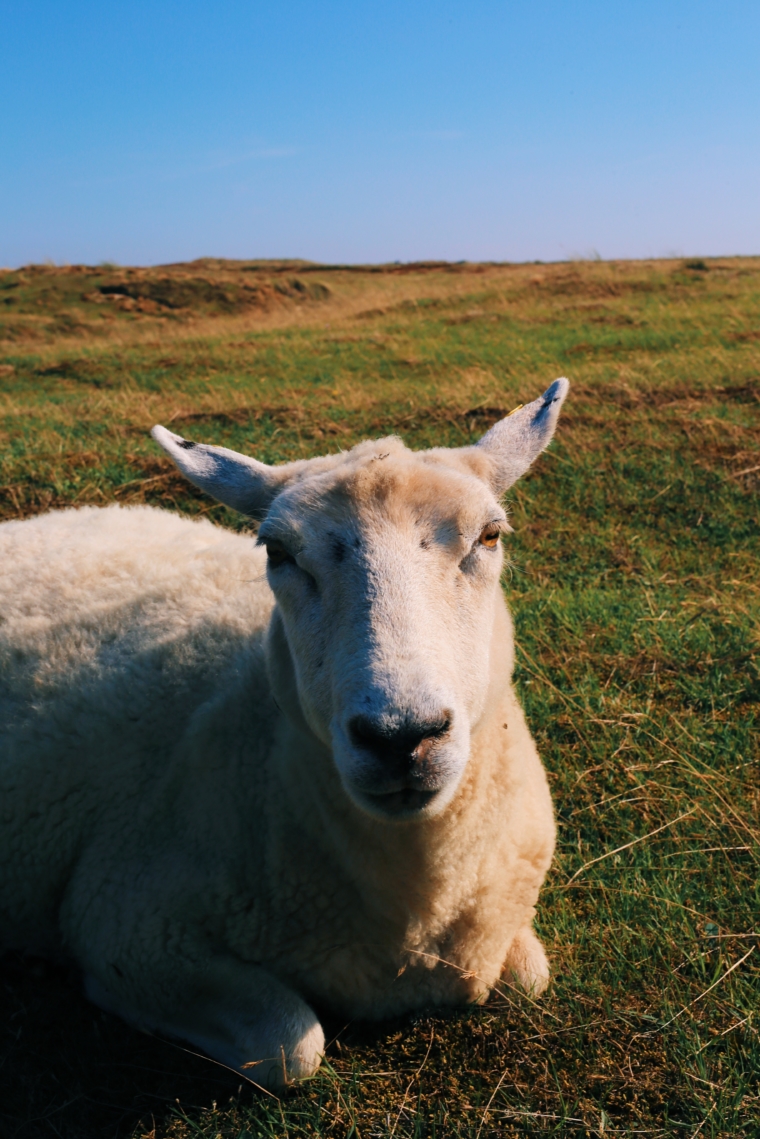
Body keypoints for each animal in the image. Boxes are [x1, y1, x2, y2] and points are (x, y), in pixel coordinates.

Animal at [0, 375, 569, 1084]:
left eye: (489, 536)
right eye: (277, 552)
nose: (401, 736)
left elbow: (530, 977)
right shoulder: (127, 926)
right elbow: (291, 1047)